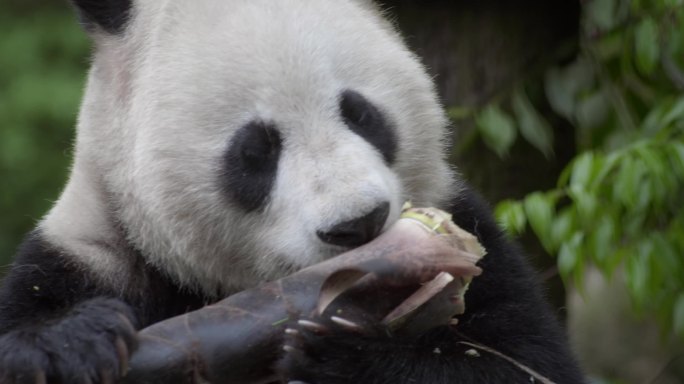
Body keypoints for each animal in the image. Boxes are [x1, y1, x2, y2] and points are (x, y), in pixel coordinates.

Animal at [1, 0, 588, 384]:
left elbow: (525, 363)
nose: (359, 223)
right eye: (256, 150)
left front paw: (345, 360)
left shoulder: (469, 231)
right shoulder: (97, 249)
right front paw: (66, 346)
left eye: (362, 114)